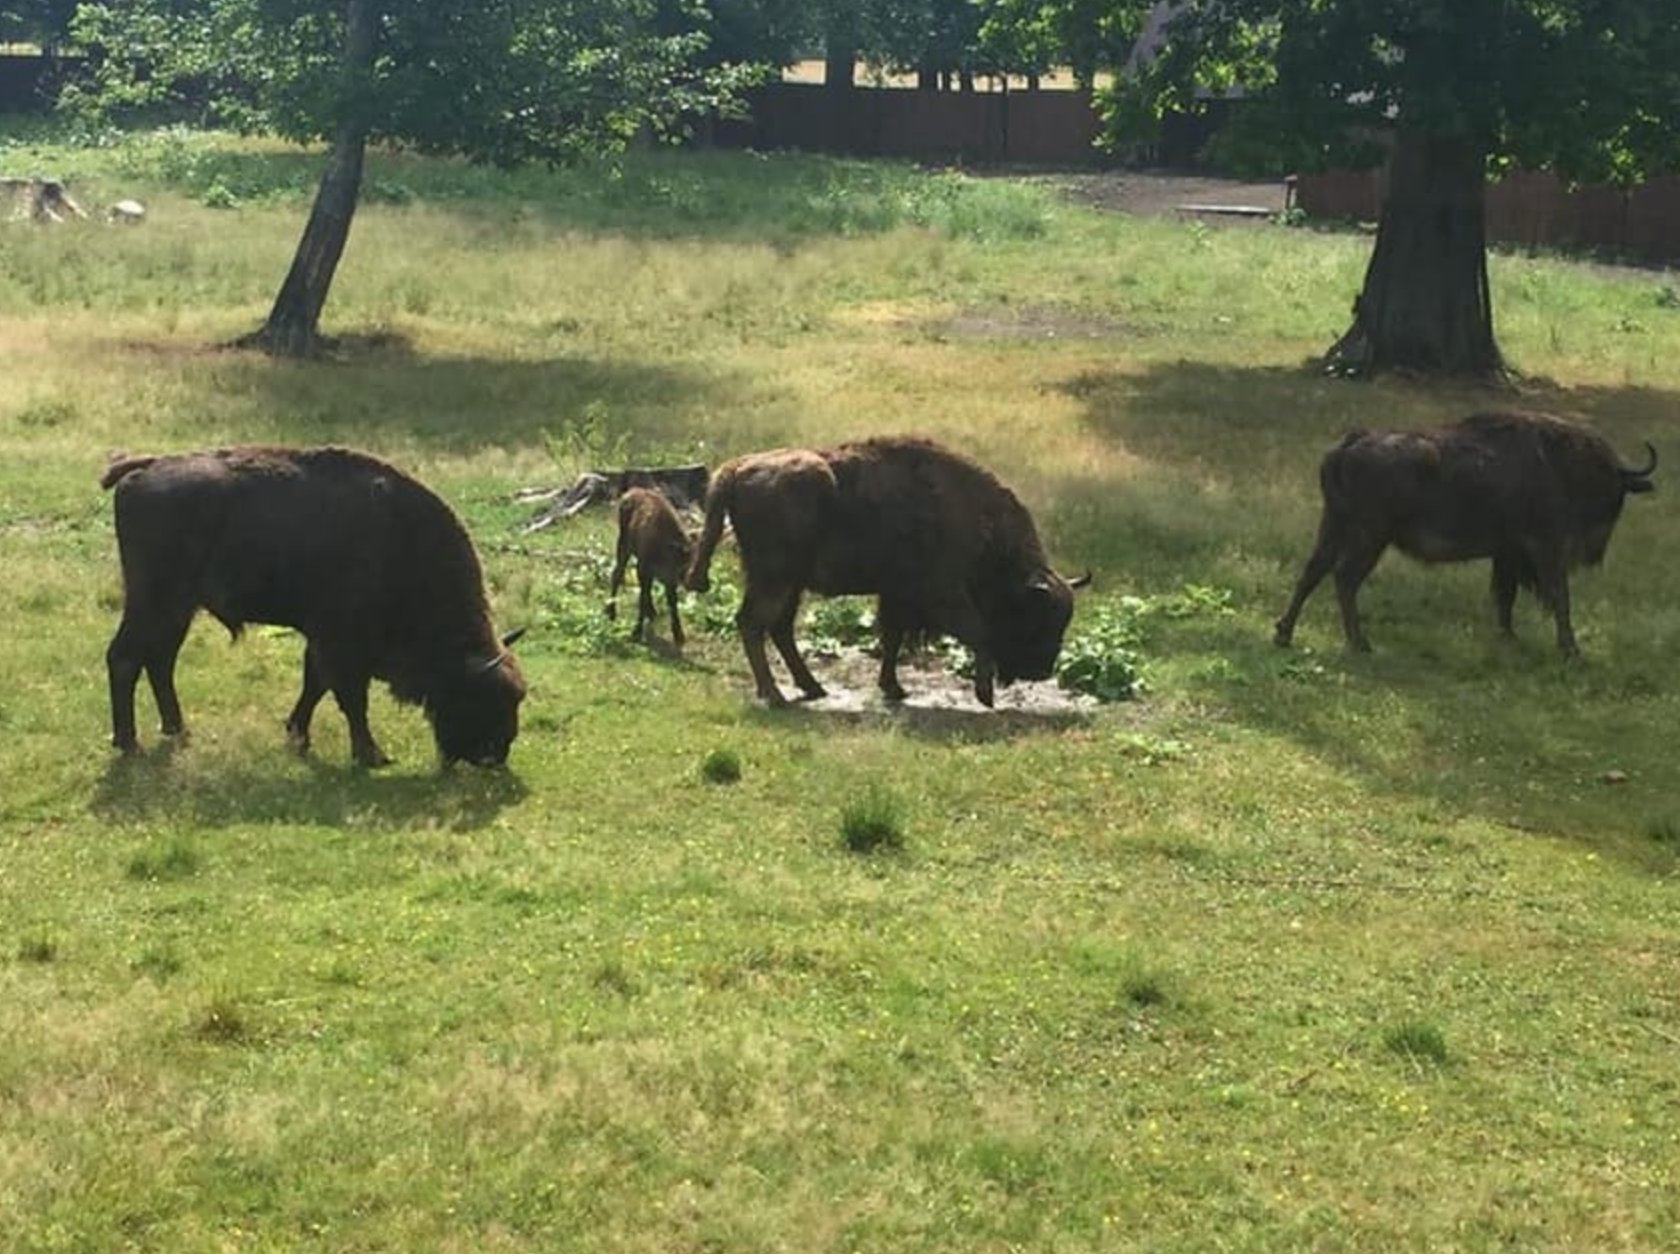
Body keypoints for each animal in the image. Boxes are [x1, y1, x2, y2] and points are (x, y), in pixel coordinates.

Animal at [105, 443, 524, 766]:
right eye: (482, 699)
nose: (496, 756)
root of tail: (145, 466)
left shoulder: (323, 641)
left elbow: (315, 686)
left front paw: (298, 737)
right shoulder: (342, 645)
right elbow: (350, 699)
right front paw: (371, 755)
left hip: (177, 609)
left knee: (159, 660)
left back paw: (176, 730)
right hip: (154, 603)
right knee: (125, 658)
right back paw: (130, 744)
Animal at [608, 484, 692, 645]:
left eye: (686, 564)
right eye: (682, 565)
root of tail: (629, 493)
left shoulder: (666, 579)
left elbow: (671, 602)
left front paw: (679, 634)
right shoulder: (644, 568)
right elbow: (642, 597)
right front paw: (636, 632)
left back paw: (652, 612)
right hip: (623, 545)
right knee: (617, 574)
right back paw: (611, 612)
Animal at [682, 433, 1088, 702]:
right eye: (1037, 618)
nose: (1042, 670)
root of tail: (736, 469)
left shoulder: (897, 596)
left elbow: (892, 639)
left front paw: (894, 688)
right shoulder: (942, 595)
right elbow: (979, 632)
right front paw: (984, 694)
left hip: (789, 584)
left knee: (778, 629)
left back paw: (812, 687)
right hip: (774, 580)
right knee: (753, 623)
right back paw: (774, 694)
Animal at [1270, 410, 1653, 655]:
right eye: (1611, 493)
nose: (1593, 553)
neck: (1560, 463)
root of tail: (1350, 443)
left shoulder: (1507, 554)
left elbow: (1505, 596)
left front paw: (1509, 638)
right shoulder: (1544, 548)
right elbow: (1559, 596)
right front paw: (1571, 650)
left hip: (1335, 527)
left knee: (1313, 572)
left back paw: (1284, 634)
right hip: (1370, 537)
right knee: (1344, 577)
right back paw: (1360, 644)